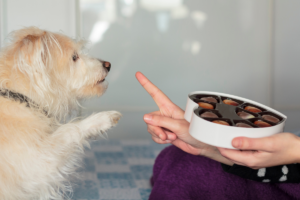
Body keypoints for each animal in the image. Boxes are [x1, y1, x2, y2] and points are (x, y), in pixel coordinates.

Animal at [0, 27, 122, 200]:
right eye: (74, 57)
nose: (108, 64)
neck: (20, 96)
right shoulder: (37, 162)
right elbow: (68, 130)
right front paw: (102, 119)